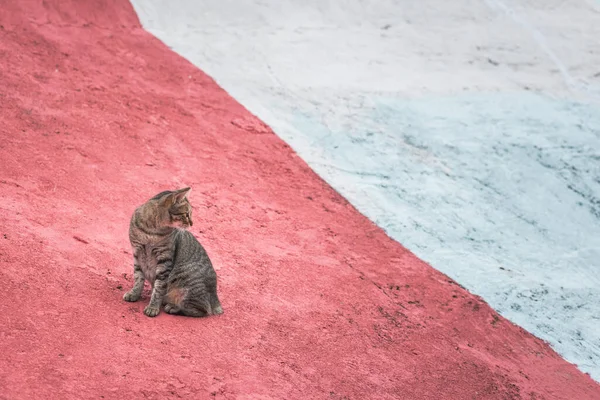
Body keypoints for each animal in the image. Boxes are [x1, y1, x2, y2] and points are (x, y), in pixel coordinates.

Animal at [122, 185, 223, 318]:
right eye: (186, 214)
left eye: (190, 214)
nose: (192, 223)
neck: (151, 230)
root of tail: (215, 298)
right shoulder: (137, 253)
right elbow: (138, 278)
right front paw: (134, 294)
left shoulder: (164, 259)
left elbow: (159, 288)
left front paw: (153, 307)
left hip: (187, 284)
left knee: (202, 310)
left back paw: (173, 307)